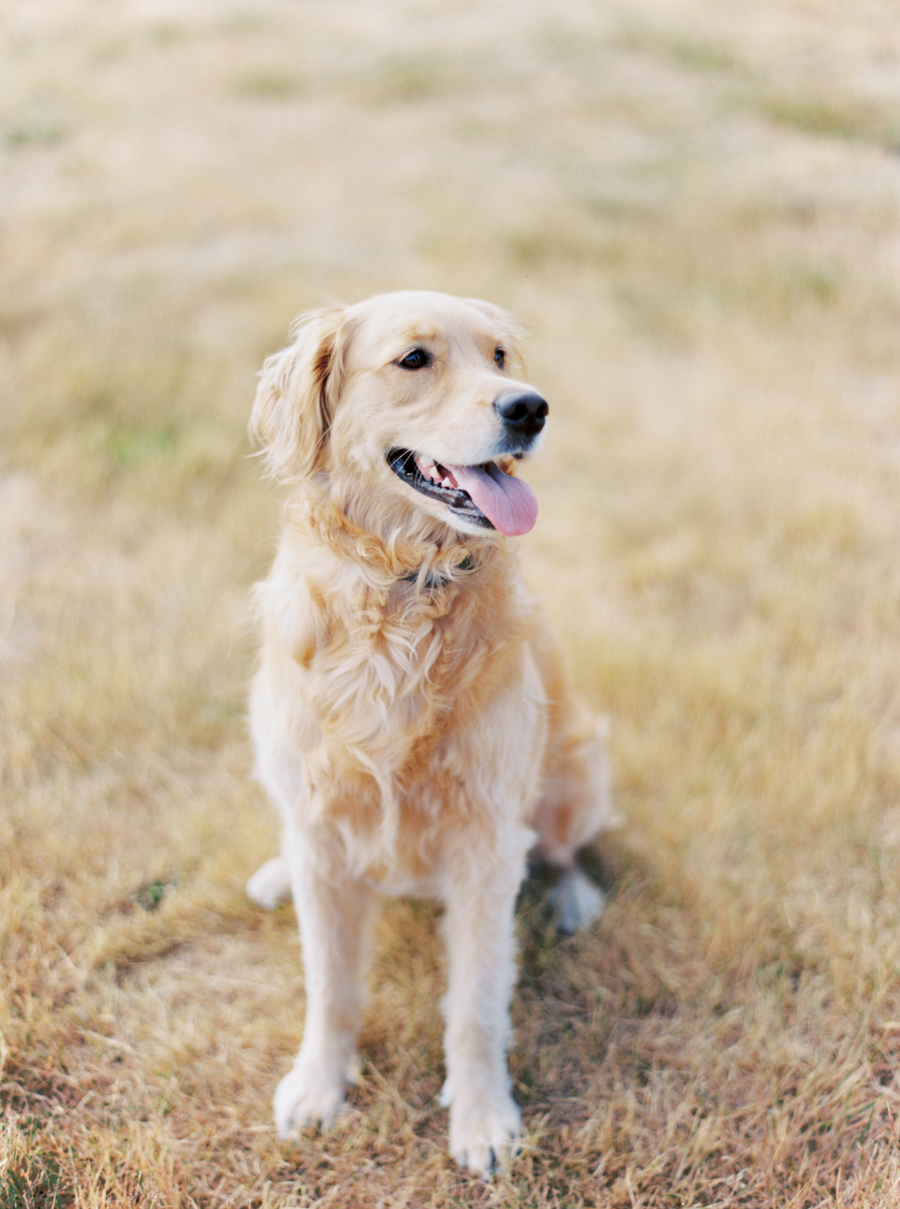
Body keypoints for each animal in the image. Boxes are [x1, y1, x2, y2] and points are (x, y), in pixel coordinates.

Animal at [243, 287, 614, 1175]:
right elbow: (329, 985)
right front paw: (319, 1084)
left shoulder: (484, 842)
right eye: (414, 359)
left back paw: (572, 895)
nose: (530, 408)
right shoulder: (320, 822)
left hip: (577, 769)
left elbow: (476, 1002)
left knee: (558, 848)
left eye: (500, 357)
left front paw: (482, 1119)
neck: (402, 590)